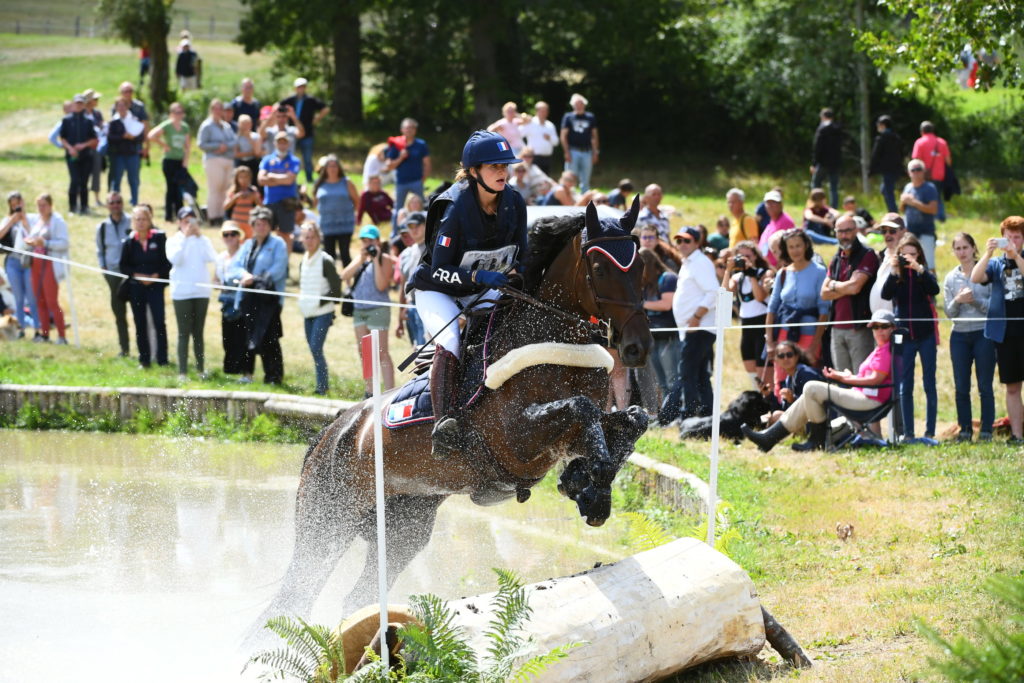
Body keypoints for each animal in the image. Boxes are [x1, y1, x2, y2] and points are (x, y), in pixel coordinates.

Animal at [250, 194, 651, 634]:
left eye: (641, 266)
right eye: (599, 267)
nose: (637, 347)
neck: (553, 339)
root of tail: (331, 433)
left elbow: (633, 418)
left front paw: (589, 486)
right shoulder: (515, 439)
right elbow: (581, 409)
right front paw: (585, 483)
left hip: (403, 528)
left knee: (357, 597)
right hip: (326, 523)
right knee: (294, 594)